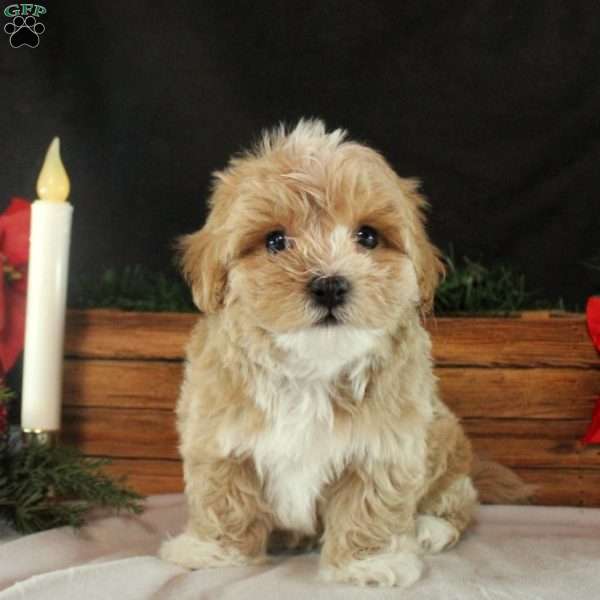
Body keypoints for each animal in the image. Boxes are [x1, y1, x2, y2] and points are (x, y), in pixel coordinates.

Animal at [159, 119, 510, 588]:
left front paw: (368, 563)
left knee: (459, 500)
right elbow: (223, 494)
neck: (312, 368)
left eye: (368, 236)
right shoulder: (217, 433)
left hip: (447, 443)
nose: (329, 285)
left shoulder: (385, 445)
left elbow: (371, 502)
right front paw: (215, 550)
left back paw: (429, 528)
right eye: (275, 241)